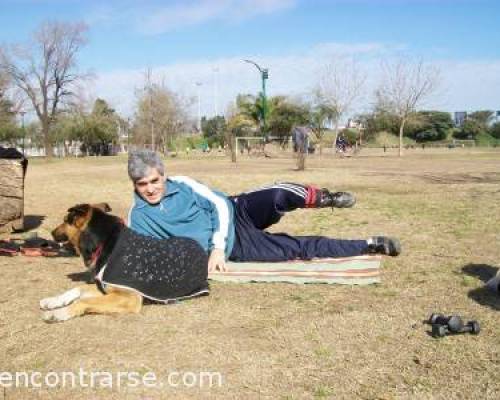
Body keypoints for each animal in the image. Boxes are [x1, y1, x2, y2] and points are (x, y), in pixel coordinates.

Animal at [40, 203, 209, 322]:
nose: (51, 233)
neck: (106, 243)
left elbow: (82, 301)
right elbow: (78, 289)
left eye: (65, 221)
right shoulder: (106, 288)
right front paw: (52, 301)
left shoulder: (128, 297)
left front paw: (58, 313)